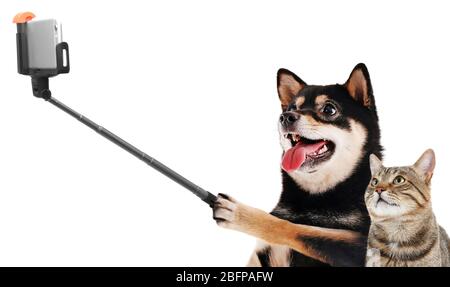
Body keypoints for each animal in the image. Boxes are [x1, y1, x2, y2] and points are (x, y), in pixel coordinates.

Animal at [214, 64, 384, 266]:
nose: (285, 117)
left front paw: (241, 214)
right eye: (291, 108)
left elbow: (300, 229)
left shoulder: (363, 247)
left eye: (329, 109)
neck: (316, 195)